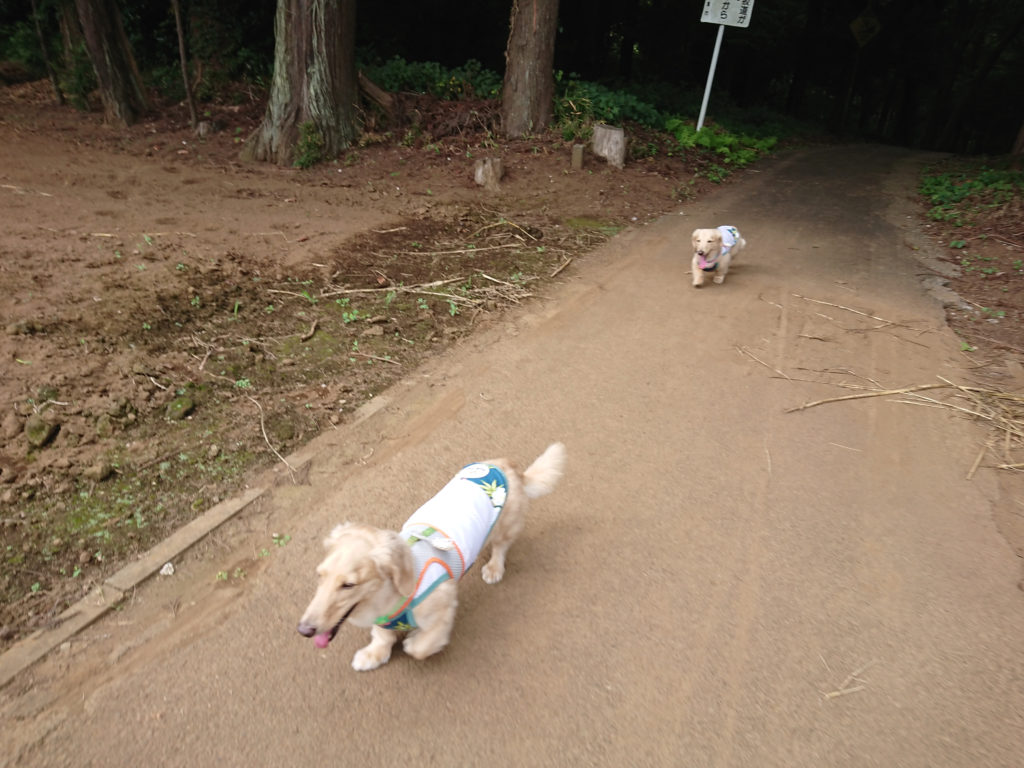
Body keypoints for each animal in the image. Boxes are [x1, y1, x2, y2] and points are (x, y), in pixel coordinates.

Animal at [296, 444, 569, 671]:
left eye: (348, 585)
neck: (387, 603)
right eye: (320, 576)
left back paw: (493, 567)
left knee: (501, 546)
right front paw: (373, 654)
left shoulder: (444, 604)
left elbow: (420, 647)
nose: (304, 630)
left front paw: (412, 641)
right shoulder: (381, 621)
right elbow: (382, 637)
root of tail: (505, 466)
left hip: (506, 524)